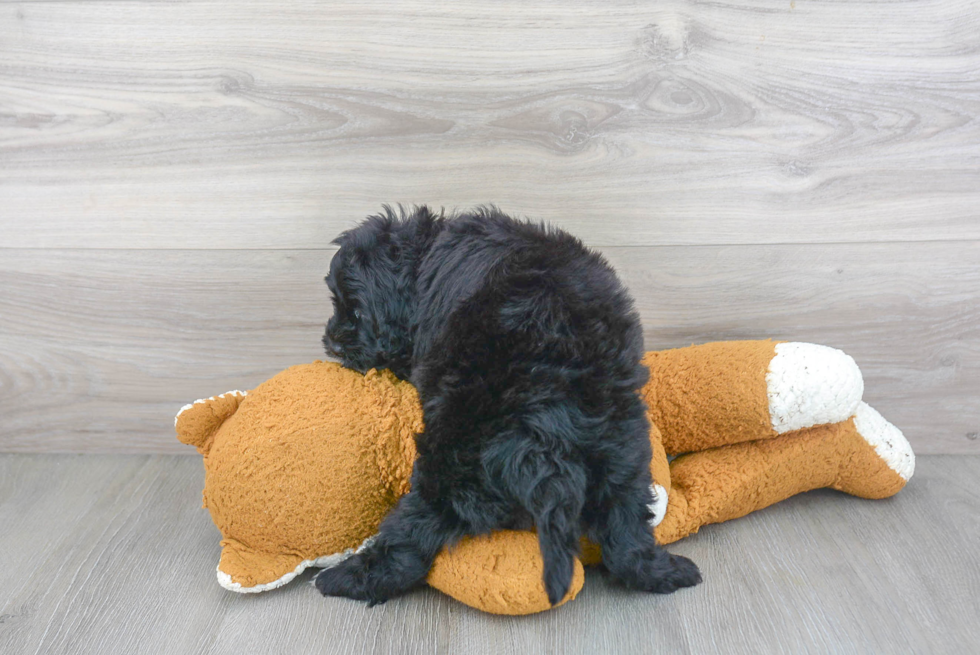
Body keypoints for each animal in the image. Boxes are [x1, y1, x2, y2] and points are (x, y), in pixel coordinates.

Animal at [314, 208, 696, 608]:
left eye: (356, 310)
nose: (332, 342)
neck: (426, 253)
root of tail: (545, 423)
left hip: (451, 455)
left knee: (415, 533)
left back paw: (345, 578)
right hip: (624, 447)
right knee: (626, 532)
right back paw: (666, 571)